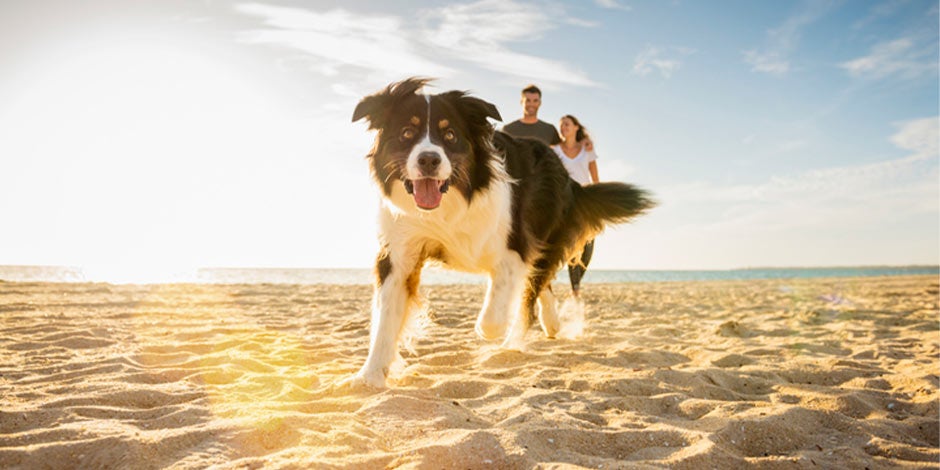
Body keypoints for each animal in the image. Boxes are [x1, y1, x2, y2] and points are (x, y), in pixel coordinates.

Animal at [346, 76, 652, 386]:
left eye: (450, 135)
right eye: (407, 132)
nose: (429, 160)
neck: (448, 206)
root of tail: (567, 176)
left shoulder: (516, 245)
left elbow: (497, 308)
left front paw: (490, 332)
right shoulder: (399, 253)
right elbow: (386, 319)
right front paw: (369, 375)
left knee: (532, 289)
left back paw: (513, 343)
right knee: (540, 285)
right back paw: (551, 324)